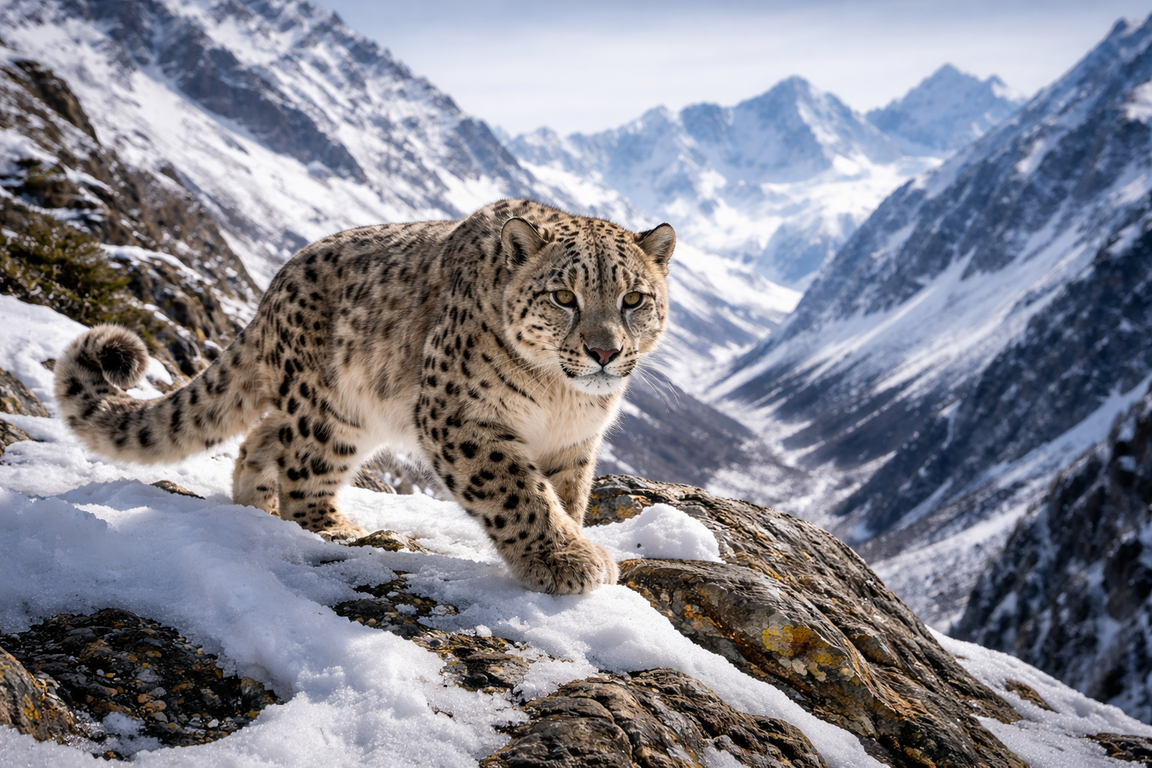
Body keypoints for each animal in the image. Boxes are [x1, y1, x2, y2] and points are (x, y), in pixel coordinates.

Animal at [53, 199, 676, 595]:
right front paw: (567, 560)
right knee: (302, 474)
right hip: (333, 413)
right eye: (564, 296)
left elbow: (563, 497)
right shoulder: (461, 416)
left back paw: (256, 506)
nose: (604, 351)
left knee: (261, 437)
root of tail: (272, 289)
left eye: (634, 299)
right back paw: (344, 530)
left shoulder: (574, 444)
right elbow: (519, 493)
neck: (559, 398)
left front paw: (572, 541)